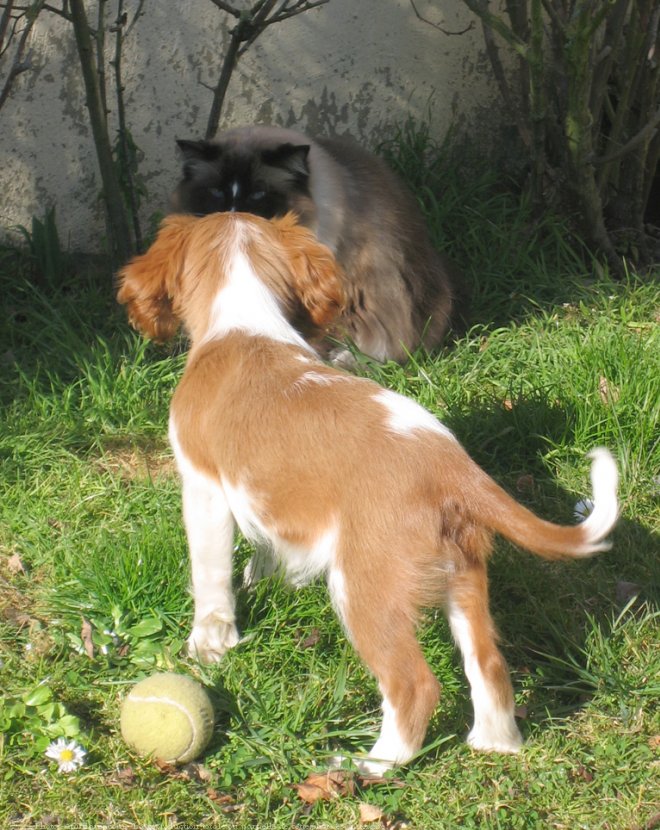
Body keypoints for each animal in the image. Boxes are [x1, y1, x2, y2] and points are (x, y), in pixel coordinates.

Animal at [118, 211, 620, 776]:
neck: (246, 316)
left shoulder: (203, 483)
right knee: (488, 665)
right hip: (462, 574)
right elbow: (267, 547)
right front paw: (262, 580)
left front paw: (210, 643)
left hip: (364, 587)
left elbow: (210, 576)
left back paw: (370, 765)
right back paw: (494, 744)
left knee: (414, 685)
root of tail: (454, 469)